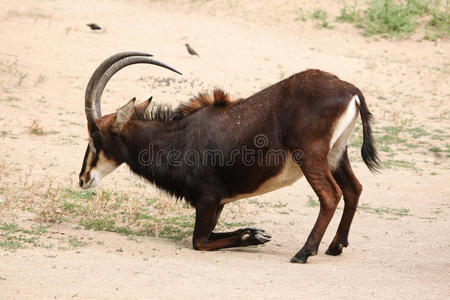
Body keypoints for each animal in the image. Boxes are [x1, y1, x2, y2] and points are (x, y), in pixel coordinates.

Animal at [79, 52, 378, 264]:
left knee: (330, 194)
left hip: (311, 156)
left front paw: (253, 235)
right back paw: (335, 246)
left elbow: (199, 241)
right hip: (336, 154)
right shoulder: (219, 204)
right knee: (353, 189)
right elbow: (212, 234)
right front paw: (255, 233)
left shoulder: (207, 200)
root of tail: (350, 91)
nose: (83, 178)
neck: (178, 138)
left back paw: (304, 252)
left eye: (94, 137)